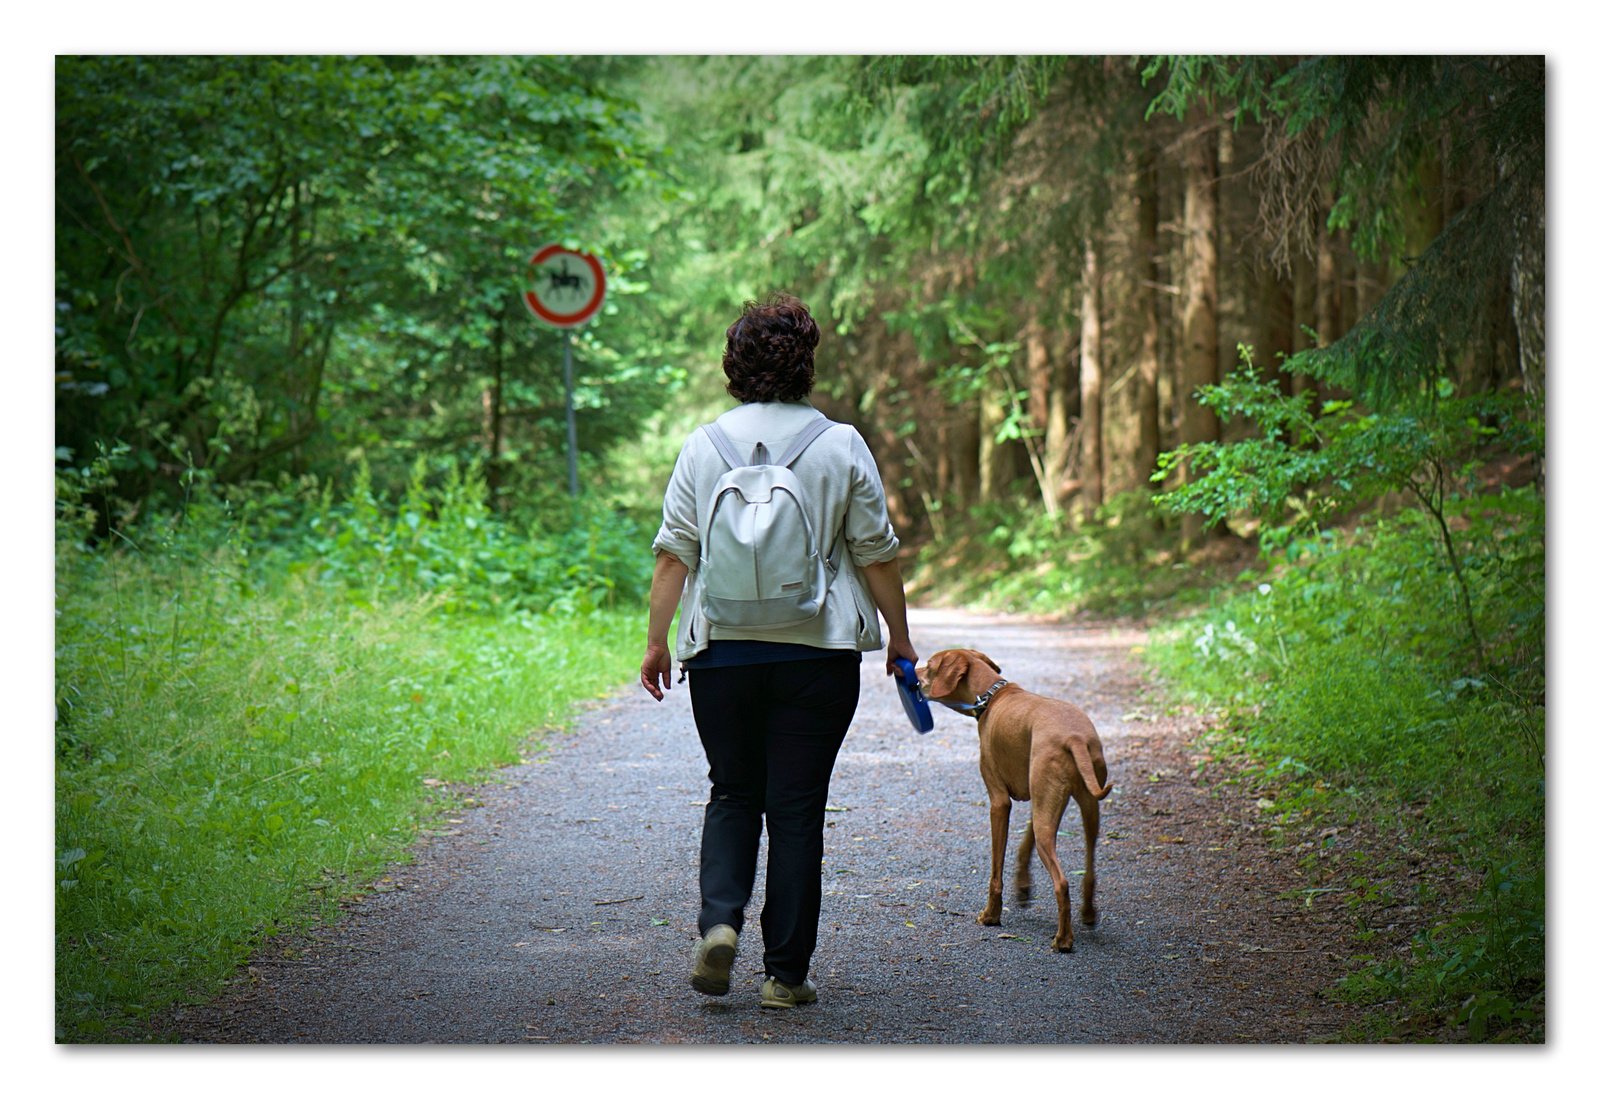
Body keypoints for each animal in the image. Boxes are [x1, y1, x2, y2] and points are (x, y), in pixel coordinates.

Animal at [915, 649, 1113, 947]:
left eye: (928, 665)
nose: (911, 676)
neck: (992, 694)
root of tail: (1075, 737)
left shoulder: (999, 803)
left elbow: (996, 870)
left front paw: (991, 915)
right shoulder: (1040, 800)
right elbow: (1024, 844)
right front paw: (1022, 886)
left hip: (1051, 819)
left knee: (1062, 882)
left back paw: (1063, 940)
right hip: (1086, 809)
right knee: (1089, 868)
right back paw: (1088, 913)